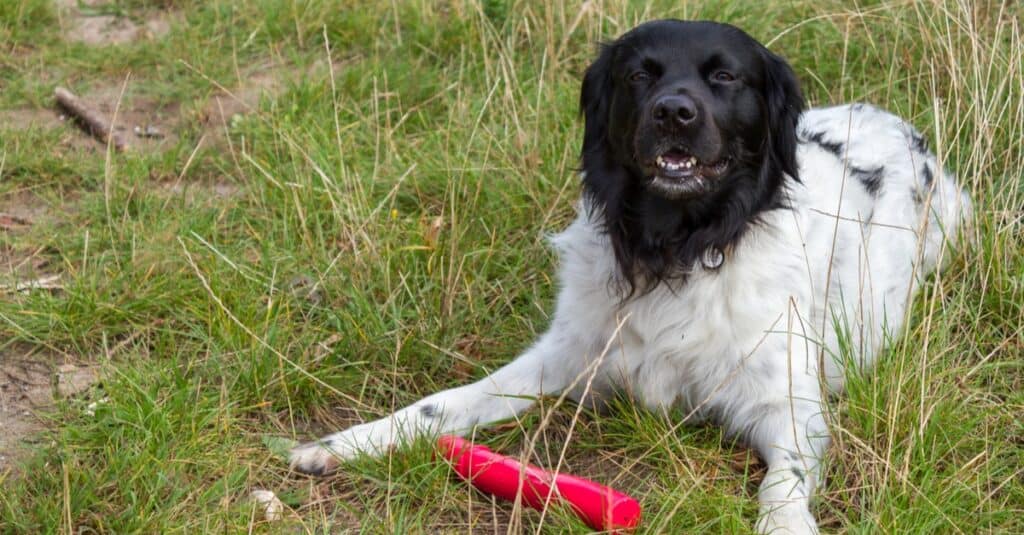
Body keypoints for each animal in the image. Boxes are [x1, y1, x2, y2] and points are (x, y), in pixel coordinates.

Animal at [292, 18, 970, 528]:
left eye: (724, 76)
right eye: (640, 74)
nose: (673, 112)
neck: (678, 250)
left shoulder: (788, 406)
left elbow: (782, 485)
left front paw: (785, 524)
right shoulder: (566, 357)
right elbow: (440, 405)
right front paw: (343, 444)